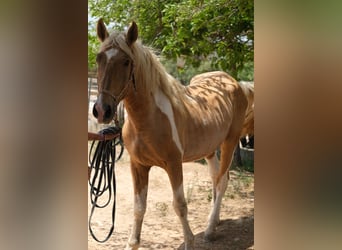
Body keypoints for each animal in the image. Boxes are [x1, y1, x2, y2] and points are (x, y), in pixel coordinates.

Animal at [93, 20, 248, 250]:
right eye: (98, 58)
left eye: (126, 62)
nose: (102, 110)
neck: (148, 119)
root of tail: (232, 81)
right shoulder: (138, 165)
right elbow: (139, 207)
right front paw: (132, 243)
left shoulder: (174, 164)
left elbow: (180, 205)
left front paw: (190, 241)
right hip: (210, 149)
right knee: (216, 177)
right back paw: (215, 220)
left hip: (230, 141)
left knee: (222, 182)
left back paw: (210, 230)